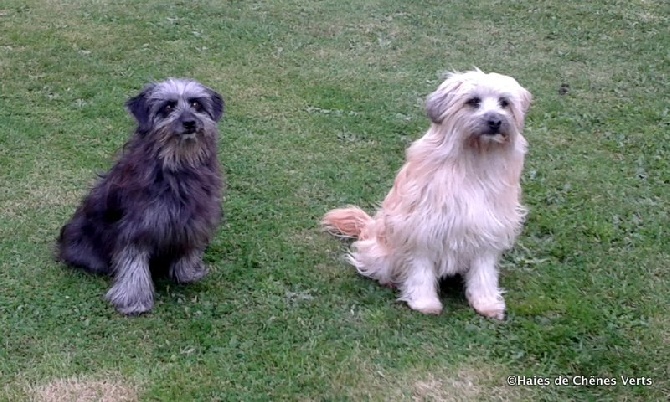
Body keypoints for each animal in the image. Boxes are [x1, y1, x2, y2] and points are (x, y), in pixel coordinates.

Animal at [58, 78, 226, 316]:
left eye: (196, 104)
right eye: (168, 107)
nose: (190, 123)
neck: (178, 165)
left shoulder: (194, 220)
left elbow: (189, 249)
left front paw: (188, 272)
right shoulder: (137, 228)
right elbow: (133, 267)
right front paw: (133, 300)